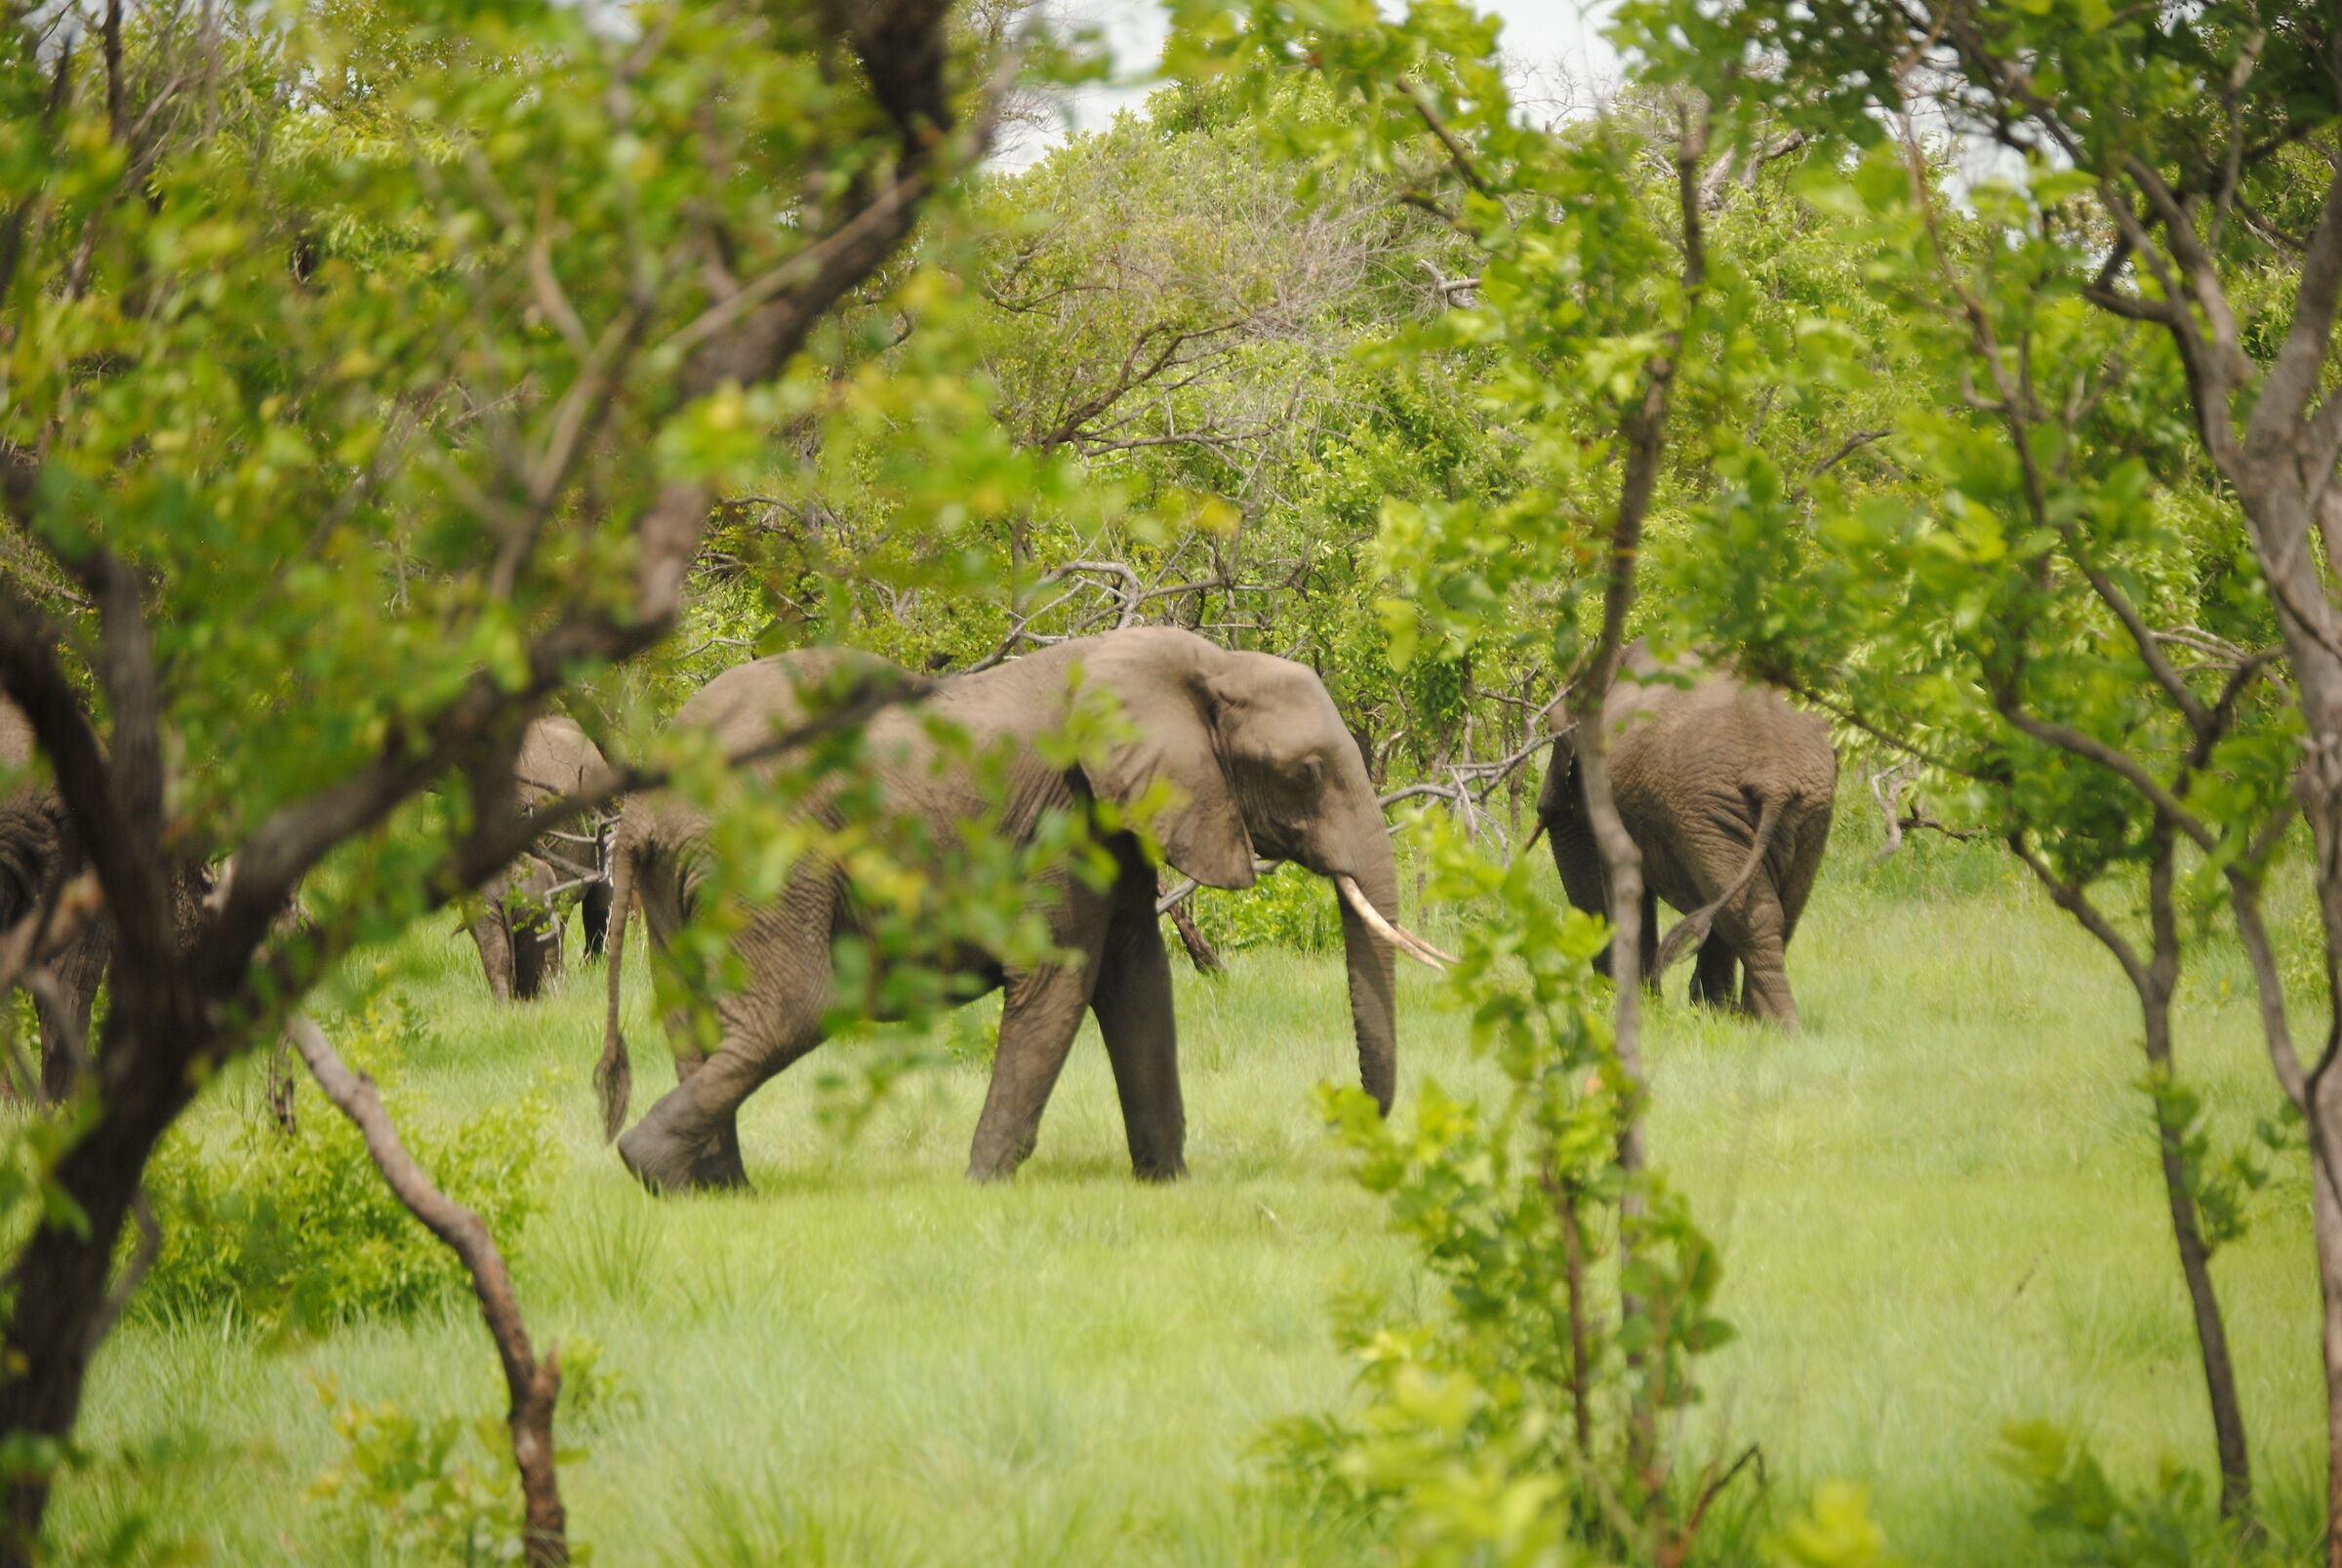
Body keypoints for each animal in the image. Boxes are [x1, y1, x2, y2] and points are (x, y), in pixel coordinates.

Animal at [595, 626, 1449, 1192]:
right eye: (1303, 773)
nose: (1346, 1121)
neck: (1202, 664)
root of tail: (643, 808)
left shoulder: (1115, 819)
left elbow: (1138, 980)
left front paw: (1166, 1185)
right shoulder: (1060, 821)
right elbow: (1060, 978)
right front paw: (984, 1187)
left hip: (687, 875)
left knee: (696, 1018)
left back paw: (707, 1190)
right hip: (765, 854)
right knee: (792, 1008)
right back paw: (647, 1164)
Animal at [1535, 641, 1836, 1026]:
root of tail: (1775, 777)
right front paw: (1703, 1013)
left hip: (1712, 808)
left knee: (1744, 912)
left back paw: (1770, 1025)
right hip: (1793, 813)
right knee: (1768, 911)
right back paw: (1756, 1023)